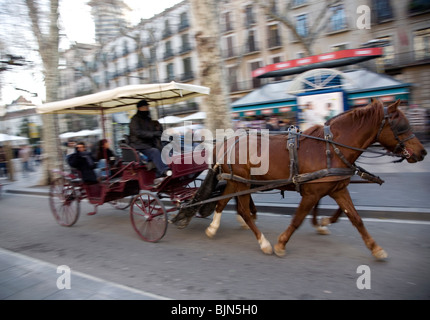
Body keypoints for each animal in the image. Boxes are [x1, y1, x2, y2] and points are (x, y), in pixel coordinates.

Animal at [203, 99, 424, 258]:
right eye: (401, 125)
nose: (423, 152)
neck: (332, 148)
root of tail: (226, 142)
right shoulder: (311, 194)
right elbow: (297, 219)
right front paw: (281, 243)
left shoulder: (338, 189)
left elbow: (356, 218)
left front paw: (375, 247)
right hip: (242, 182)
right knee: (243, 210)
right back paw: (263, 242)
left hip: (236, 181)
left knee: (222, 202)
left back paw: (213, 228)